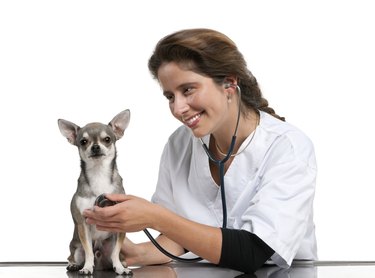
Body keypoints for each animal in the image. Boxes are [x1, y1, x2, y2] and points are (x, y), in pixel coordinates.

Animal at [58, 109, 134, 276]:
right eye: (83, 141)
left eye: (107, 139)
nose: (95, 147)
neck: (98, 174)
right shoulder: (83, 224)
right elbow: (88, 252)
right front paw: (87, 267)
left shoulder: (120, 226)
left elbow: (116, 252)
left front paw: (120, 268)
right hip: (76, 248)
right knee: (74, 255)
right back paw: (75, 265)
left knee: (115, 255)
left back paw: (120, 265)